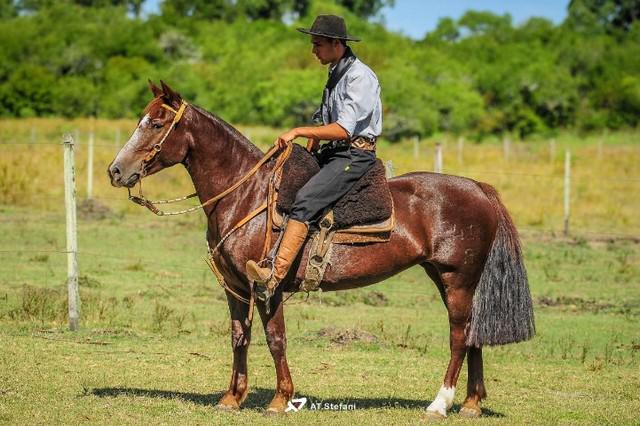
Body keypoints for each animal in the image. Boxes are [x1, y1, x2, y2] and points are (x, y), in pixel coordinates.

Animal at [107, 80, 532, 420]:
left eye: (156, 123)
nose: (115, 170)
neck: (246, 193)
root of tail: (479, 188)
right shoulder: (236, 288)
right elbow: (239, 337)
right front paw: (232, 397)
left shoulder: (268, 287)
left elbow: (275, 339)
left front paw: (280, 399)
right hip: (451, 280)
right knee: (473, 334)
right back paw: (471, 404)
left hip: (457, 278)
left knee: (460, 336)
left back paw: (440, 403)